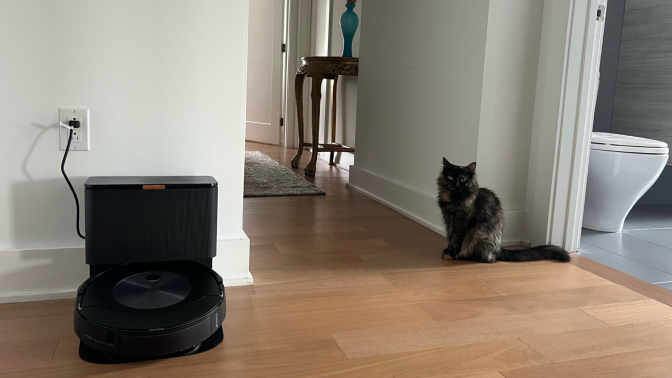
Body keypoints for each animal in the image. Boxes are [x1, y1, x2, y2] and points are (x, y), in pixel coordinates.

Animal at [438, 157, 568, 262]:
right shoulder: (449, 221)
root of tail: (499, 249)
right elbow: (450, 237)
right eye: (450, 177)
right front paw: (447, 250)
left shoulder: (462, 223)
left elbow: (456, 240)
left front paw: (451, 253)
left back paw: (462, 255)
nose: (455, 186)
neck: (453, 199)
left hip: (476, 233)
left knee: (487, 259)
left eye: (462, 179)